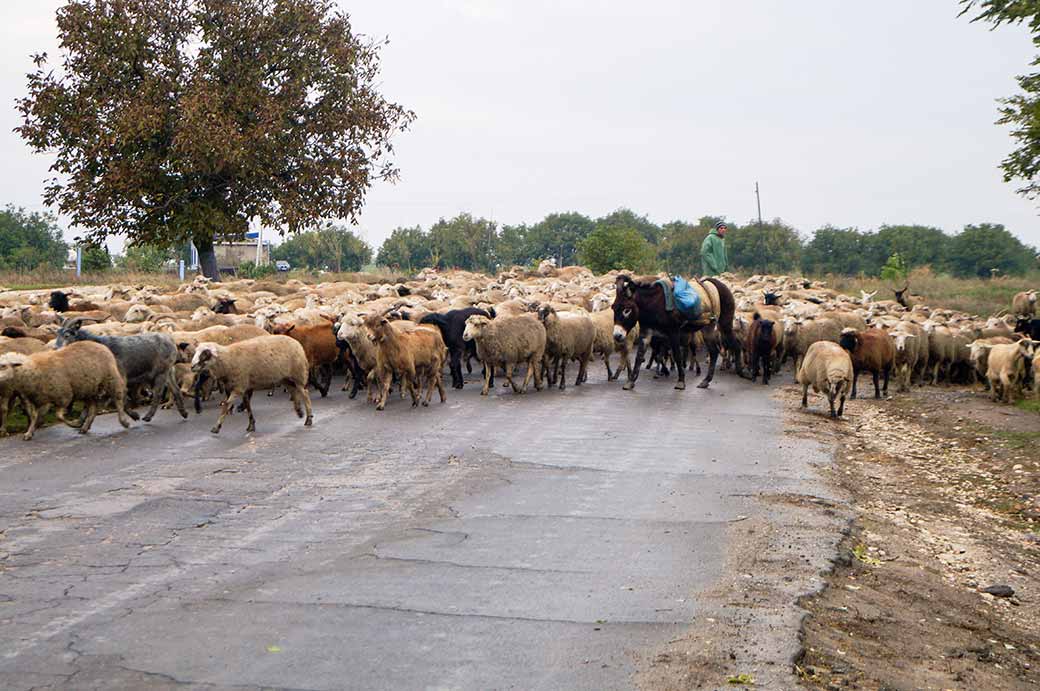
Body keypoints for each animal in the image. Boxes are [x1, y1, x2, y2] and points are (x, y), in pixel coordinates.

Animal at [0, 341, 134, 443]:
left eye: (3, 366)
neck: (34, 370)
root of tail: (100, 345)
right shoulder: (38, 399)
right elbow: (34, 417)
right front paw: (29, 433)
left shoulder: (64, 396)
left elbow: (59, 416)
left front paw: (74, 423)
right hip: (89, 389)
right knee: (93, 408)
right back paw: (85, 427)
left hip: (110, 379)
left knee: (118, 399)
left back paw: (124, 421)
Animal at [55, 316, 189, 420]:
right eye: (57, 334)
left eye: (67, 335)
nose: (56, 348)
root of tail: (171, 341)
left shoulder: (118, 376)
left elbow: (121, 397)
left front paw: (134, 415)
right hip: (168, 371)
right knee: (176, 389)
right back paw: (184, 413)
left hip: (160, 372)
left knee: (158, 394)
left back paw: (148, 416)